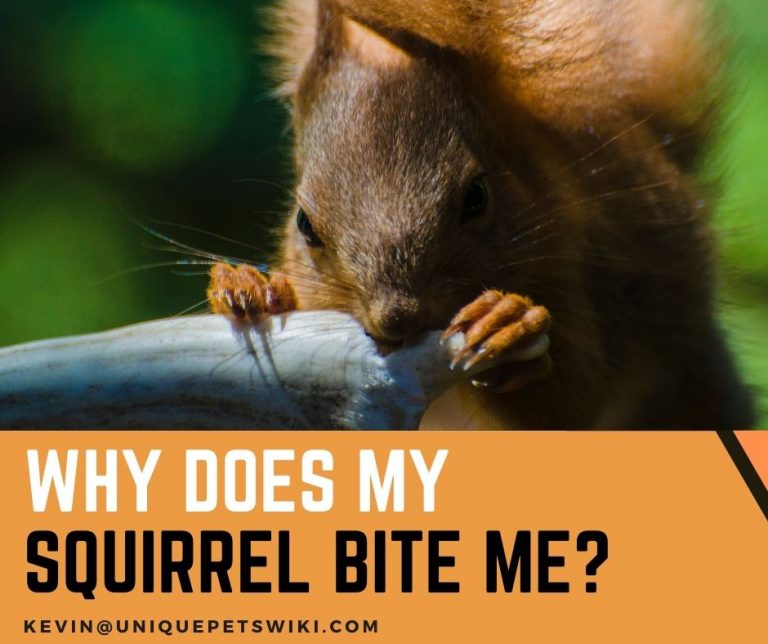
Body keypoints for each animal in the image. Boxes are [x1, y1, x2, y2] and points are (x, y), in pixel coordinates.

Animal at [207, 0, 754, 429]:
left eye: (477, 197)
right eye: (304, 224)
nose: (397, 318)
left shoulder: (581, 269)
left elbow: (571, 403)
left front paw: (506, 324)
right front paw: (250, 287)